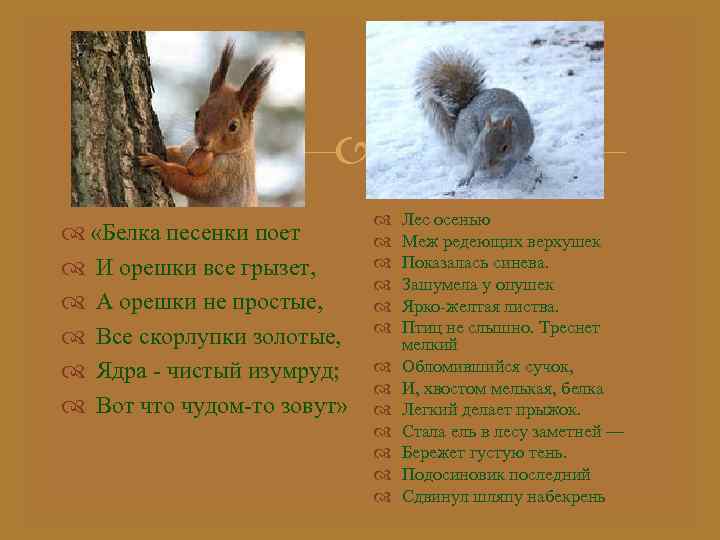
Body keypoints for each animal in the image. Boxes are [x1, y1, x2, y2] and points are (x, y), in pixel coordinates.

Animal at [139, 41, 273, 207]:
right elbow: (176, 154)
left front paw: (158, 164)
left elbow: (197, 186)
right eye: (198, 112)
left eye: (233, 126)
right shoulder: (189, 150)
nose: (203, 140)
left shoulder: (226, 175)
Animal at [415, 47, 534, 187]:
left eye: (505, 147)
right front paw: (467, 176)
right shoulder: (477, 147)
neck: (501, 117)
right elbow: (474, 162)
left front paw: (501, 175)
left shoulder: (518, 150)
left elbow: (510, 164)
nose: (489, 164)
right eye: (483, 143)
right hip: (469, 136)